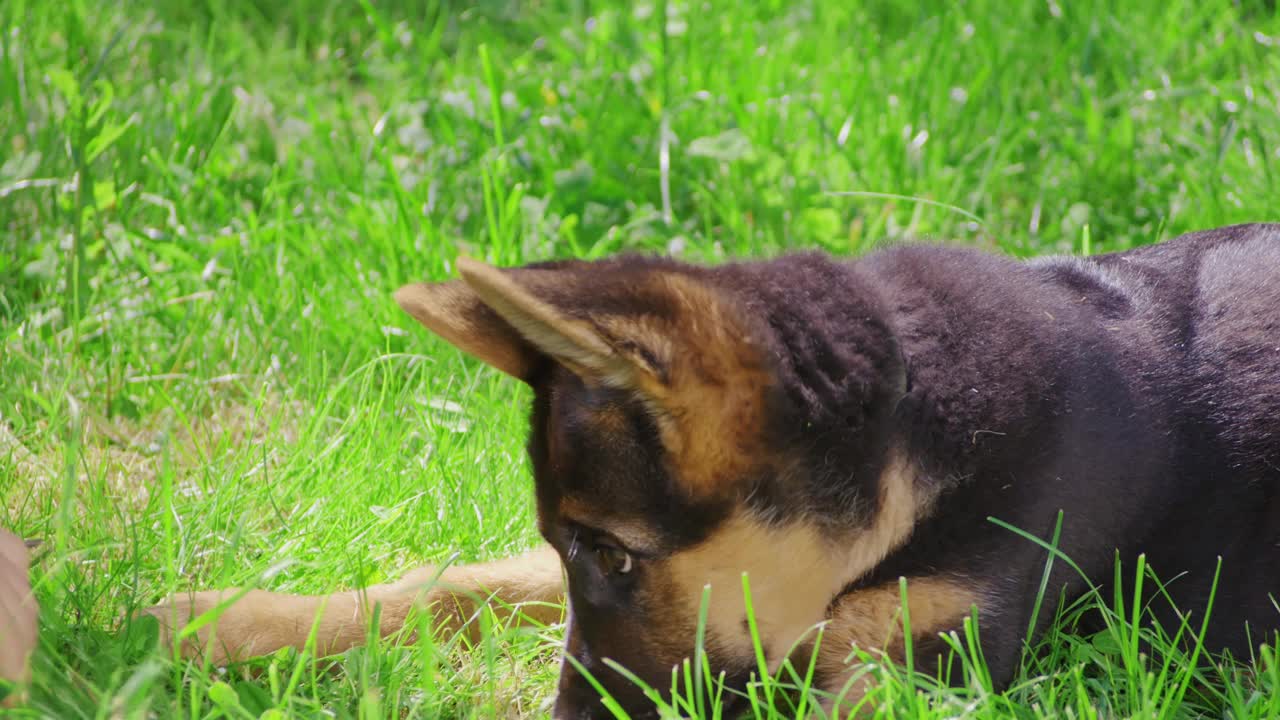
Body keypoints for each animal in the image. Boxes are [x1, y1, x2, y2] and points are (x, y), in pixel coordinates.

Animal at [145, 221, 1280, 712]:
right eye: (584, 549)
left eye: (616, 553)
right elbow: (464, 582)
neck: (915, 433)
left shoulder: (912, 668)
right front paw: (228, 621)